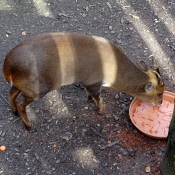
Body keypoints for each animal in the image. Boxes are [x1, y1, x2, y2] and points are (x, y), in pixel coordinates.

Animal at [2, 32, 164, 130]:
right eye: (160, 94)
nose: (160, 103)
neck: (114, 73)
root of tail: (7, 68)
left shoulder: (87, 81)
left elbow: (90, 94)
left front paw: (89, 99)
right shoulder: (94, 81)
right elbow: (97, 97)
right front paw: (100, 110)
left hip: (23, 85)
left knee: (11, 93)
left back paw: (14, 112)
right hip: (36, 88)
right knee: (20, 102)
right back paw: (29, 126)